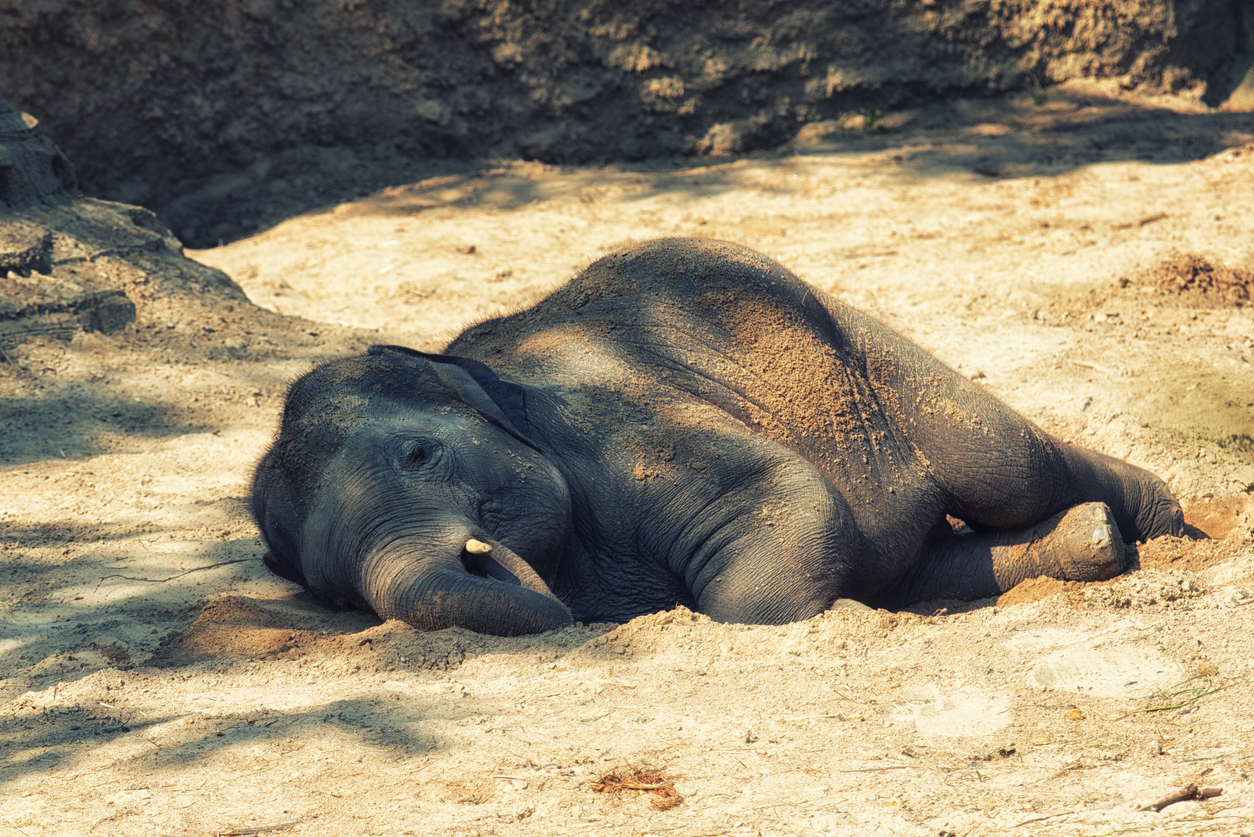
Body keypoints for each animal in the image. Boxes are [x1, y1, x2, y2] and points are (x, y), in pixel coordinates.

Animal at [251, 238, 1184, 635]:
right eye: (333, 592)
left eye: (419, 454)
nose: (481, 554)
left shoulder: (619, 425)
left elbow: (782, 500)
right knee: (920, 557)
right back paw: (1091, 543)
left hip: (856, 340)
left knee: (1008, 464)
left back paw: (1162, 523)